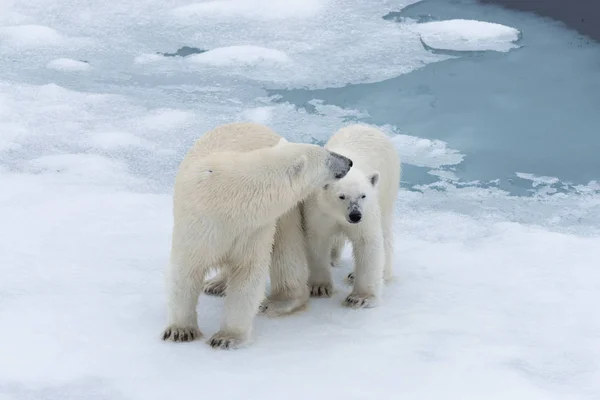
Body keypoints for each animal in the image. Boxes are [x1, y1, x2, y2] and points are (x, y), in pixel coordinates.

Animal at [162, 122, 354, 350]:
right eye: (327, 157)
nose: (349, 162)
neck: (231, 198)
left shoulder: (255, 228)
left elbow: (247, 273)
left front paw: (226, 337)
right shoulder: (199, 224)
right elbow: (185, 270)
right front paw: (180, 331)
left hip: (285, 217)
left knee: (286, 249)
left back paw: (279, 301)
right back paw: (215, 284)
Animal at [304, 125, 398, 310]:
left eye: (363, 195)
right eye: (342, 196)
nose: (355, 215)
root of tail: (368, 126)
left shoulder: (368, 212)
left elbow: (366, 242)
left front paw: (360, 298)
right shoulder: (318, 211)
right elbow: (317, 240)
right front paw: (319, 287)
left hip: (387, 185)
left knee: (385, 229)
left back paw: (380, 272)